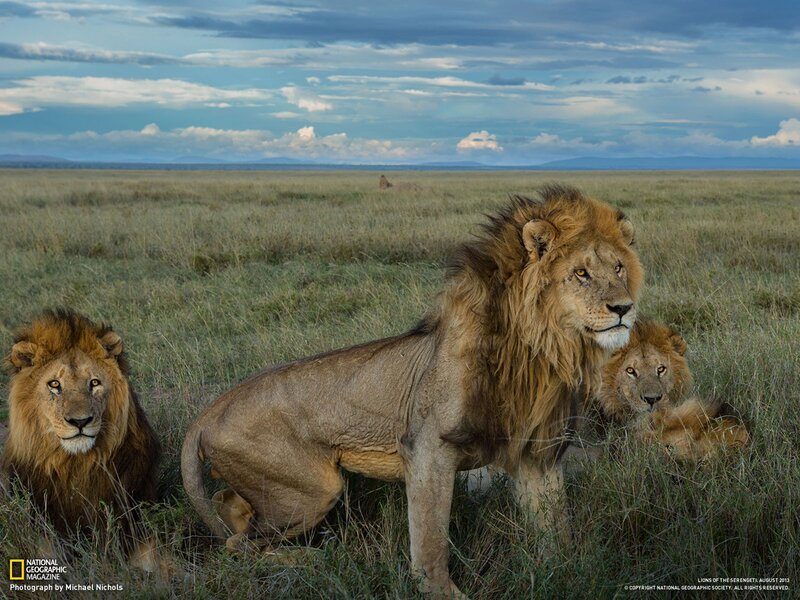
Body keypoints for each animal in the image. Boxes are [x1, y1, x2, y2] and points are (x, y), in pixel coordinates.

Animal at [182, 185, 643, 598]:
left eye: (619, 268)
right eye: (581, 273)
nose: (624, 308)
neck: (541, 349)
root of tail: (210, 410)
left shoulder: (538, 452)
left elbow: (554, 526)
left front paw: (570, 572)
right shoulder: (427, 446)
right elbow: (430, 536)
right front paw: (441, 592)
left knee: (229, 509)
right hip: (314, 488)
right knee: (236, 544)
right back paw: (309, 559)